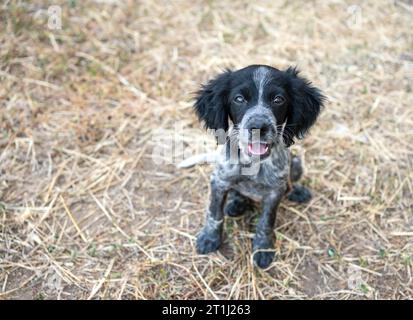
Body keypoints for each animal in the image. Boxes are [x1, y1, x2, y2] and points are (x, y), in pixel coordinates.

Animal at [192, 64, 324, 268]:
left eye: (278, 99)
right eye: (239, 99)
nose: (258, 127)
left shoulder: (274, 191)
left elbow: (266, 222)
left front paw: (263, 249)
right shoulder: (219, 181)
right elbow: (214, 214)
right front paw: (209, 238)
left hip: (296, 164)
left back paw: (296, 191)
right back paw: (236, 203)